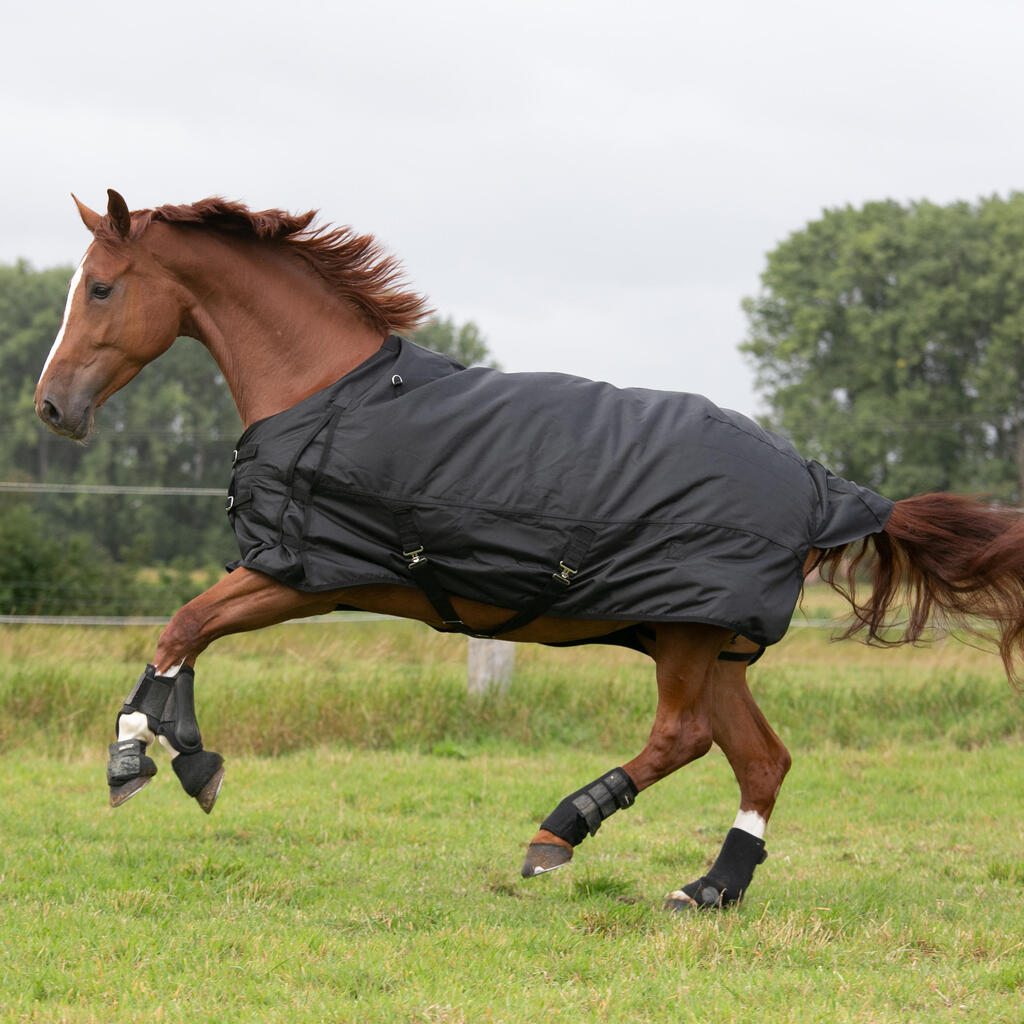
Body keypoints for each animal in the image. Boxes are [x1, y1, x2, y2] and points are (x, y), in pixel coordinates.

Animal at [32, 192, 1024, 913]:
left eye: (102, 288)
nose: (50, 408)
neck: (330, 396)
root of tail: (824, 486)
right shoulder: (298, 576)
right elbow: (182, 638)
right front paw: (179, 756)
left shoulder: (298, 574)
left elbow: (181, 627)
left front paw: (140, 756)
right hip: (706, 640)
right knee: (761, 760)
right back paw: (709, 889)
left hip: (687, 636)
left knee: (683, 737)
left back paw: (559, 833)